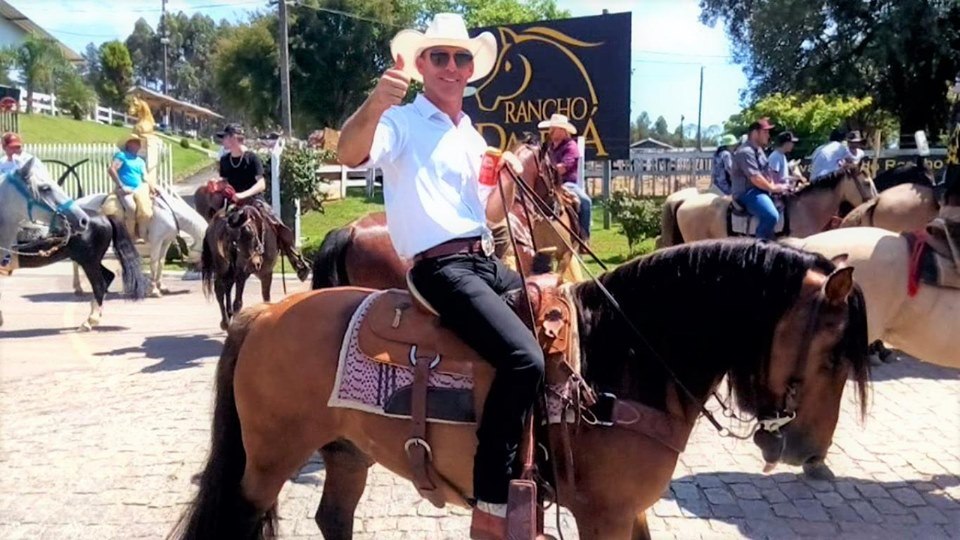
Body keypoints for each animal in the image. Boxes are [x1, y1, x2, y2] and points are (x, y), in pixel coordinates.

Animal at [74, 188, 208, 297]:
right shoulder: (156, 241)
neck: (169, 213)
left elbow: (161, 263)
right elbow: (154, 264)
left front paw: (161, 287)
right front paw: (154, 291)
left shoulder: (166, 242)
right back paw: (79, 288)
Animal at [172, 239, 870, 540]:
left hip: (346, 452)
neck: (622, 361)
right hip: (269, 459)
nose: (807, 451)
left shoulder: (629, 513)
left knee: (332, 518)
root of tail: (265, 313)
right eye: (834, 355)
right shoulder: (603, 516)